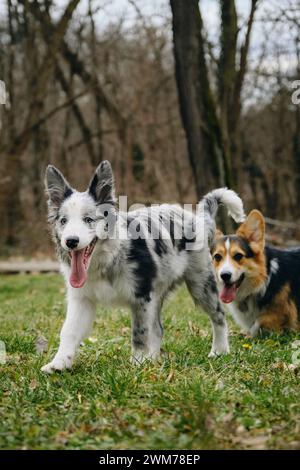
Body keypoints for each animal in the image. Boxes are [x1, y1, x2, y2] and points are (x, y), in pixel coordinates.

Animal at [41, 162, 245, 374]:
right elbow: (69, 330)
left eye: (88, 220)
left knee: (218, 315)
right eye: (63, 221)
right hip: (159, 291)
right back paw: (153, 360)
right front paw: (59, 362)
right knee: (157, 328)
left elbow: (139, 332)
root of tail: (197, 219)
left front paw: (137, 362)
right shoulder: (82, 298)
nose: (71, 241)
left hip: (200, 283)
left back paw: (220, 350)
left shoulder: (141, 296)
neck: (108, 257)